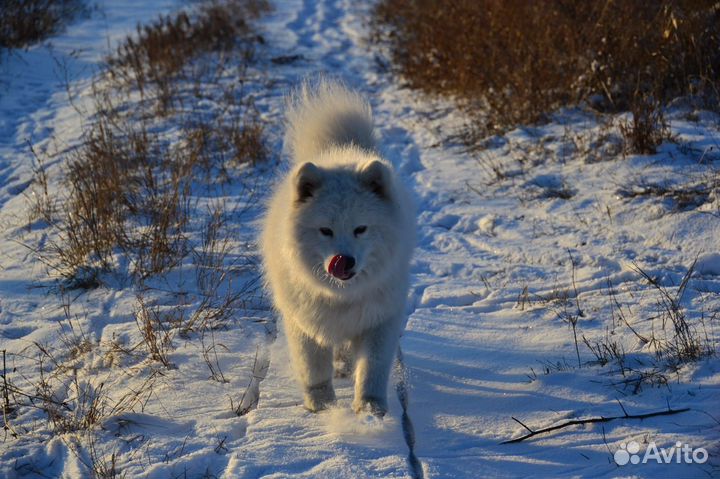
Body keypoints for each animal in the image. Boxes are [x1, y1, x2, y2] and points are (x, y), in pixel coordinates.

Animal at [262, 81, 414, 416]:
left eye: (361, 229)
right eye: (325, 231)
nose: (344, 260)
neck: (342, 295)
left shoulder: (379, 318)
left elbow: (372, 367)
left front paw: (370, 408)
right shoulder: (304, 321)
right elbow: (313, 367)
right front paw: (322, 405)